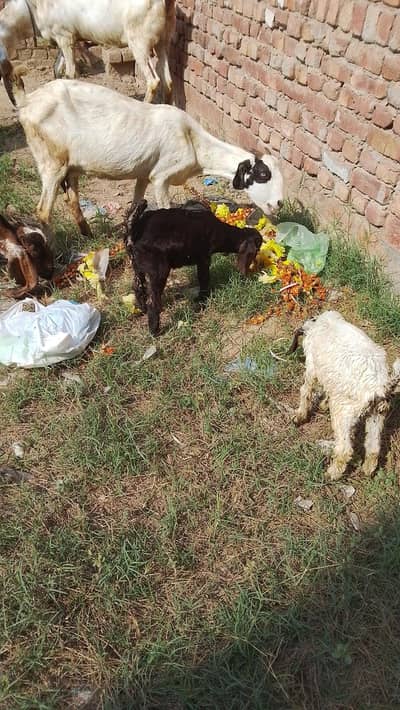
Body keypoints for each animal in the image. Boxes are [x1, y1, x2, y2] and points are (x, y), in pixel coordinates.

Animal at [0, 0, 176, 105]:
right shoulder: (66, 39)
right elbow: (57, 70)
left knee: (153, 81)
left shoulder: (64, 36)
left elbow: (70, 73)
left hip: (138, 41)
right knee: (168, 80)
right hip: (163, 39)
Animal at [9, 69, 283, 238]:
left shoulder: (144, 173)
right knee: (43, 211)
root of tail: (28, 101)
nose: (279, 203)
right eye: (262, 174)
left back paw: (88, 235)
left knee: (72, 200)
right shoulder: (161, 177)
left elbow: (134, 205)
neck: (194, 142)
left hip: (70, 165)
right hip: (51, 161)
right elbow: (165, 208)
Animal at [124, 200, 262, 335]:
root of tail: (134, 230)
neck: (219, 229)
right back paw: (154, 330)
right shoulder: (204, 259)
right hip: (158, 271)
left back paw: (142, 309)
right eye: (258, 248)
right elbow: (204, 279)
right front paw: (202, 300)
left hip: (137, 267)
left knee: (137, 287)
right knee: (153, 302)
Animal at [290, 310, 400, 481]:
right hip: (377, 414)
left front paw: (300, 416)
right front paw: (323, 404)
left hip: (343, 414)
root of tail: (379, 385)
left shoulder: (312, 369)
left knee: (345, 450)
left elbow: (305, 391)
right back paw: (367, 470)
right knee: (373, 447)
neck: (318, 324)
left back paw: (331, 473)